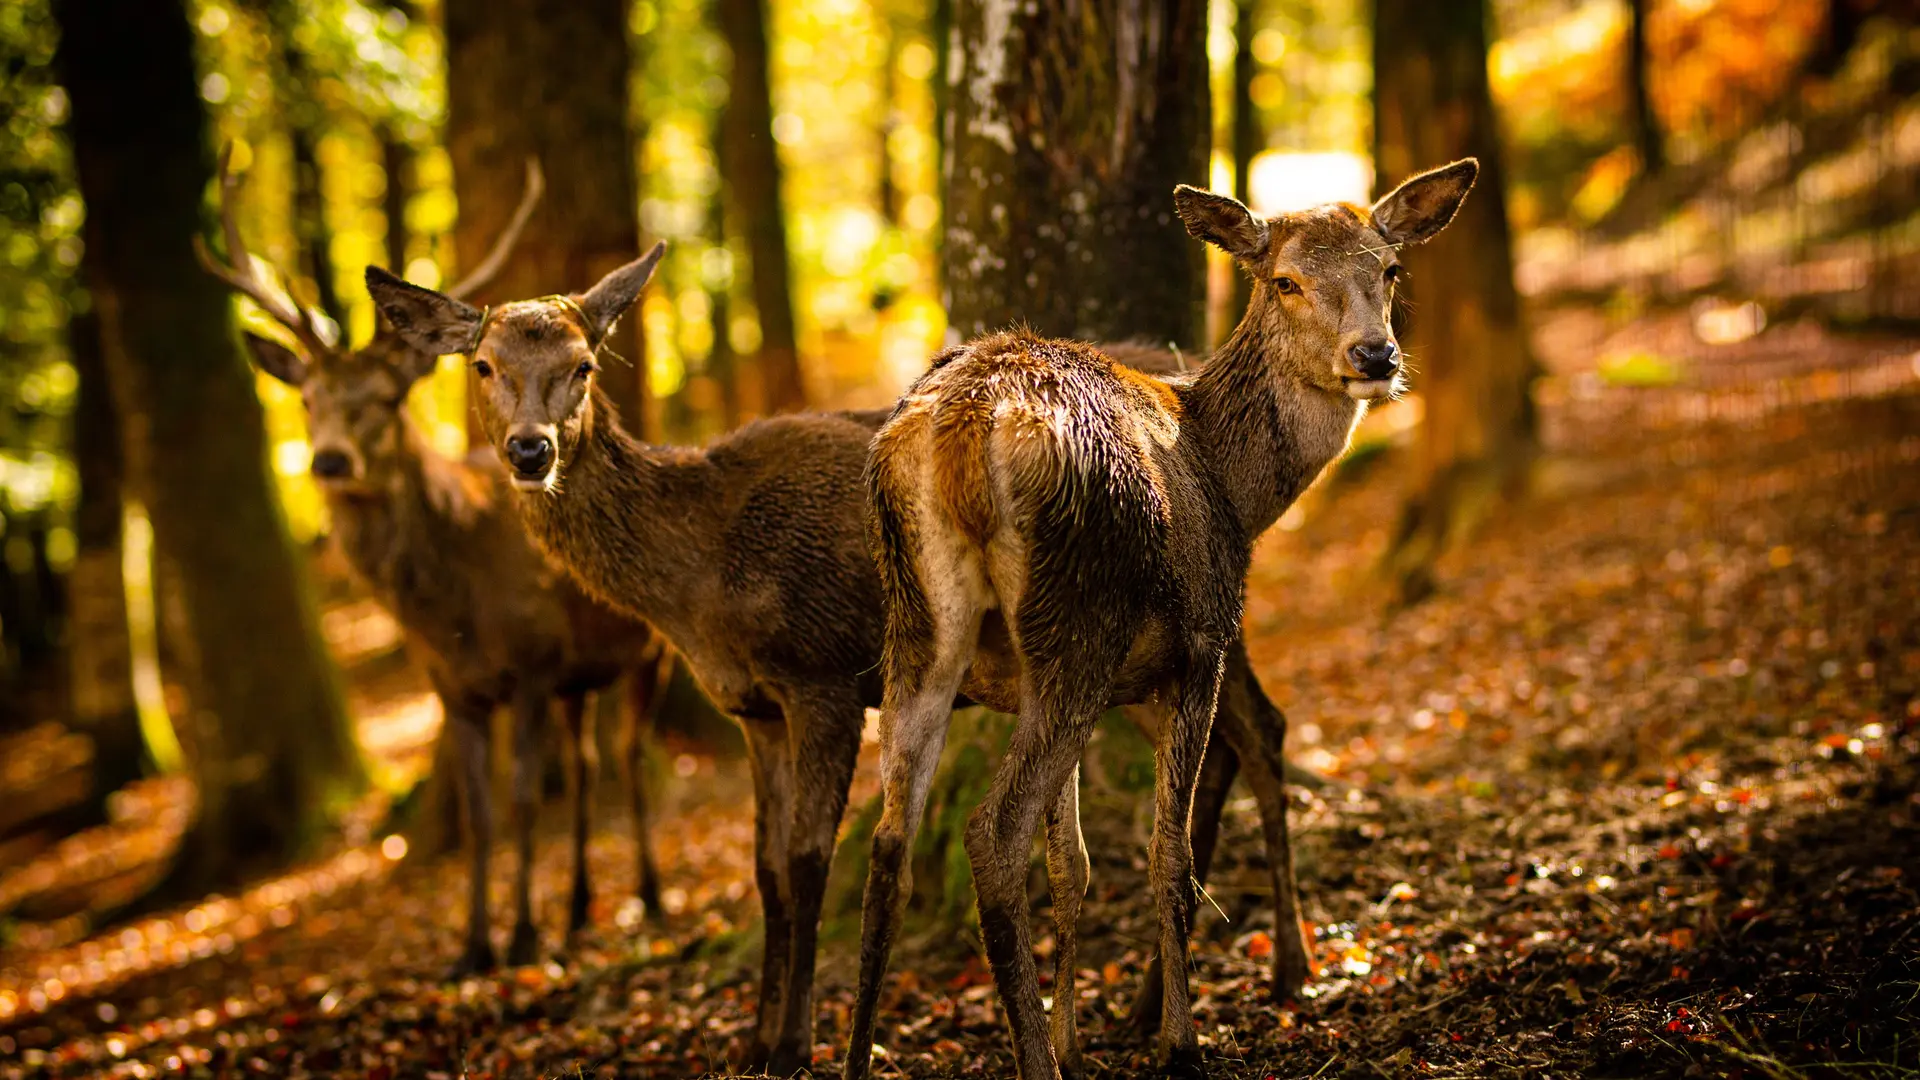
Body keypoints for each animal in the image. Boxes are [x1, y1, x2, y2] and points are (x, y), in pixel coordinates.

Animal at [198, 145, 679, 976]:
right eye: (306, 401)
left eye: (385, 399)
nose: (330, 460)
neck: (451, 612)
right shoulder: (453, 688)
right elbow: (482, 815)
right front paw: (474, 946)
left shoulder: (532, 665)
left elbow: (523, 801)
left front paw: (521, 936)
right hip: (579, 679)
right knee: (587, 766)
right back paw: (580, 907)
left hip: (646, 654)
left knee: (627, 757)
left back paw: (645, 896)